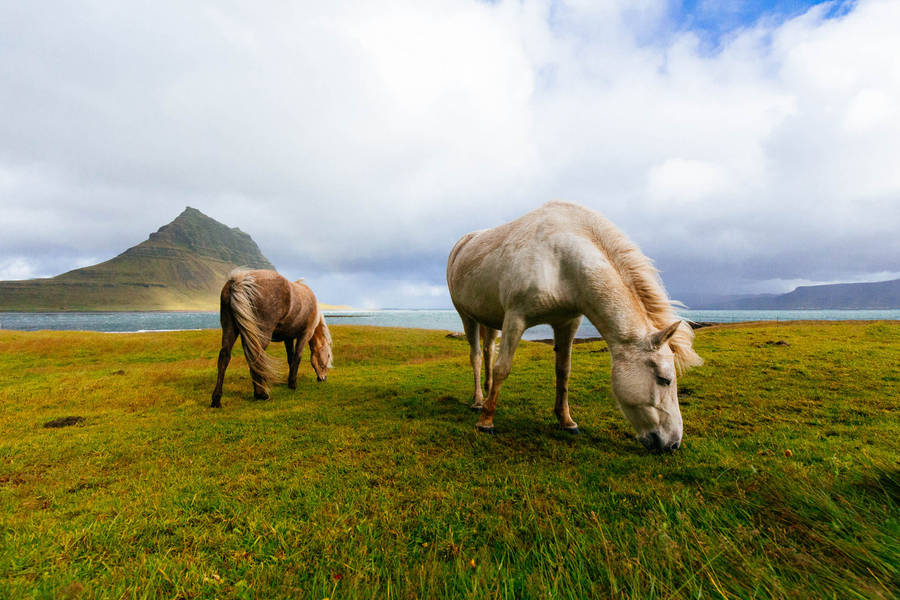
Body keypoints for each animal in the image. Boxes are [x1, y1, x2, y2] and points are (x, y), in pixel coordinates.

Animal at [210, 269, 333, 408]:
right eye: (328, 356)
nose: (323, 378)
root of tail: (240, 280)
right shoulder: (304, 335)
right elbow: (297, 357)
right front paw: (293, 384)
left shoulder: (288, 338)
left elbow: (290, 358)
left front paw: (289, 381)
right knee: (255, 357)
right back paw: (261, 394)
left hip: (230, 329)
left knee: (224, 357)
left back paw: (216, 399)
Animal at [446, 201, 702, 453]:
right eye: (664, 379)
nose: (673, 444)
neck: (561, 260)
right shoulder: (515, 319)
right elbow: (503, 368)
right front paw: (486, 422)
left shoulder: (567, 323)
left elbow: (563, 372)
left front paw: (566, 421)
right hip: (466, 316)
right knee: (477, 356)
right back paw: (479, 401)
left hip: (490, 320)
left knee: (488, 351)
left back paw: (487, 393)